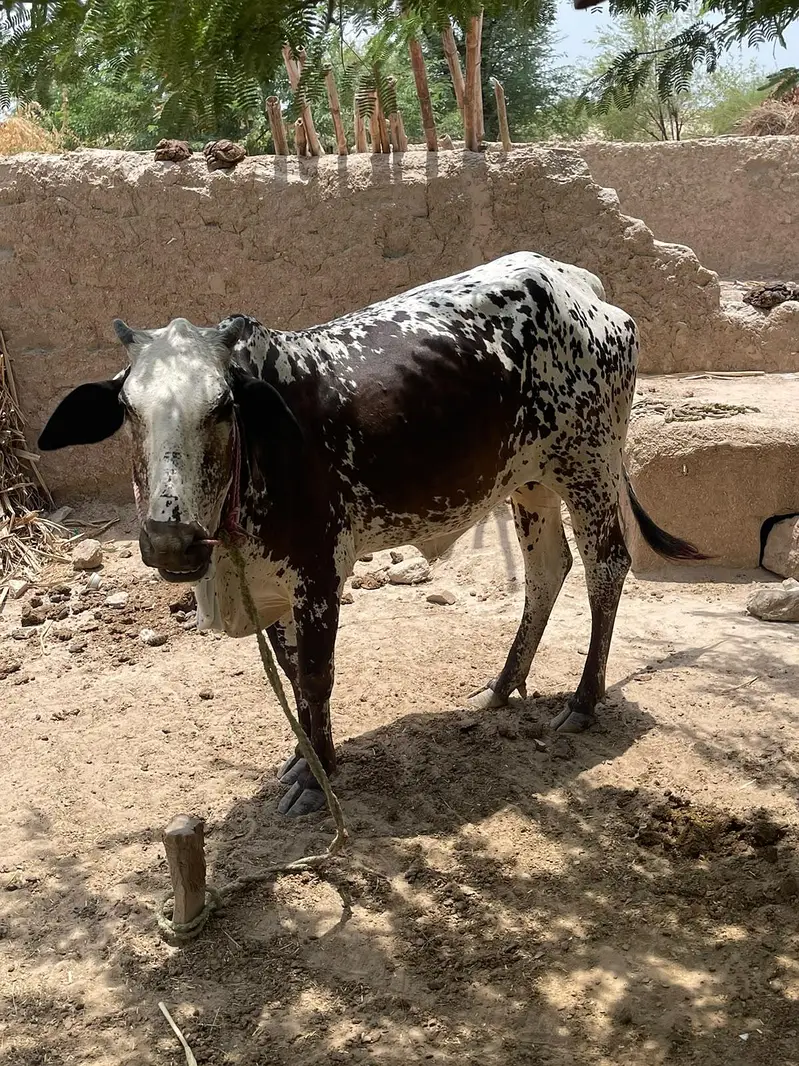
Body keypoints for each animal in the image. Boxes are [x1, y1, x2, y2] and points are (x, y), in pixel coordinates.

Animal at [38, 252, 704, 816]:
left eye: (224, 407)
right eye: (128, 410)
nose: (170, 539)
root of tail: (575, 282)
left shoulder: (318, 572)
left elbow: (316, 674)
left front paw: (316, 782)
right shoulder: (273, 584)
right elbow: (295, 676)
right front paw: (306, 758)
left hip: (588, 464)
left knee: (606, 566)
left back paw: (583, 702)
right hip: (530, 480)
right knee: (547, 571)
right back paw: (501, 686)